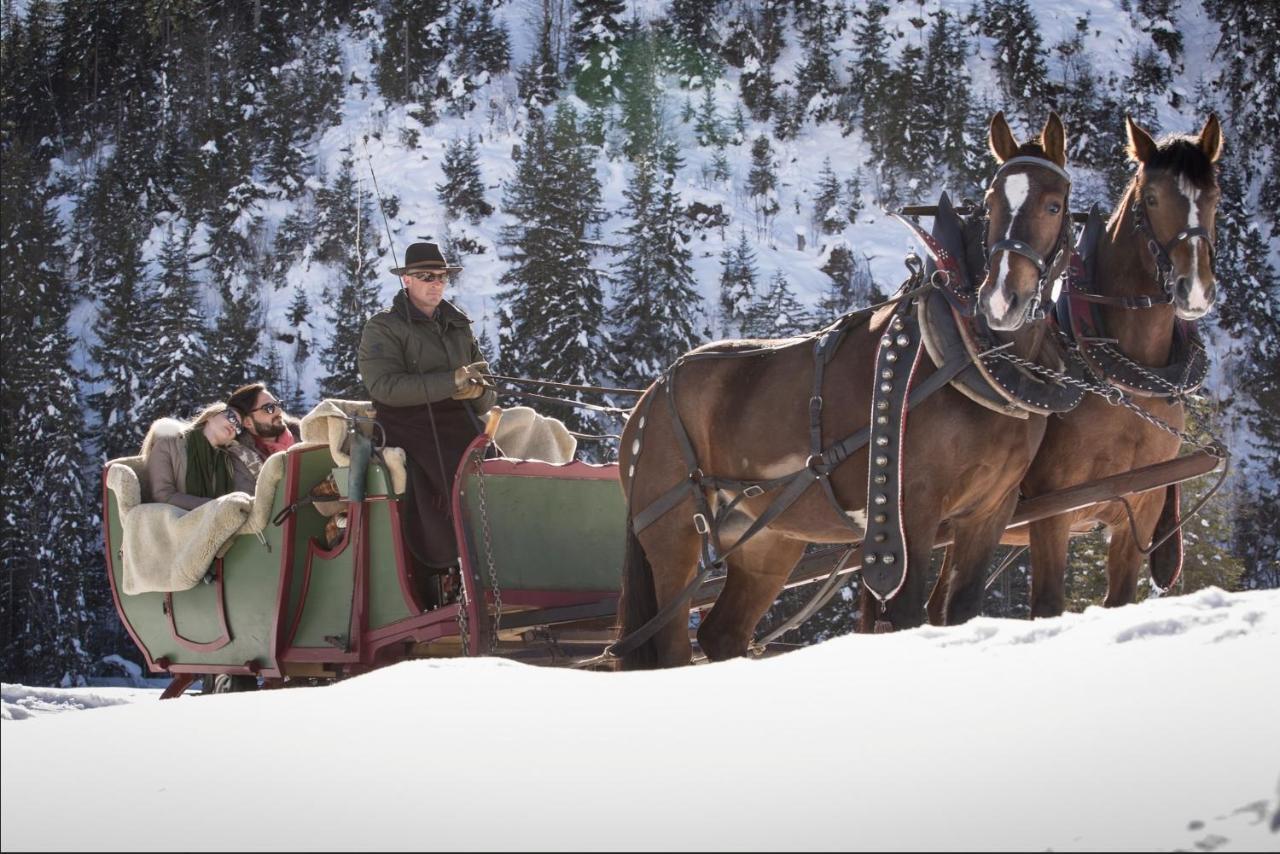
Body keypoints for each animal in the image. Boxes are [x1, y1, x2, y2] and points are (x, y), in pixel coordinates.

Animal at [614, 110, 1075, 665]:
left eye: (1054, 204)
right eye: (991, 204)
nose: (1002, 300)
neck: (968, 359)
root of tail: (646, 402)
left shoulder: (989, 511)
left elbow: (960, 610)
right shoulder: (908, 514)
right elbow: (905, 616)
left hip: (767, 538)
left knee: (722, 634)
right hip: (673, 534)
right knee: (669, 646)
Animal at [936, 113, 1223, 622]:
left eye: (1213, 196)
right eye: (1151, 197)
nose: (1194, 290)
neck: (1127, 385)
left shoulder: (1141, 506)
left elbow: (1121, 597)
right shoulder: (1054, 510)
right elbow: (1048, 603)